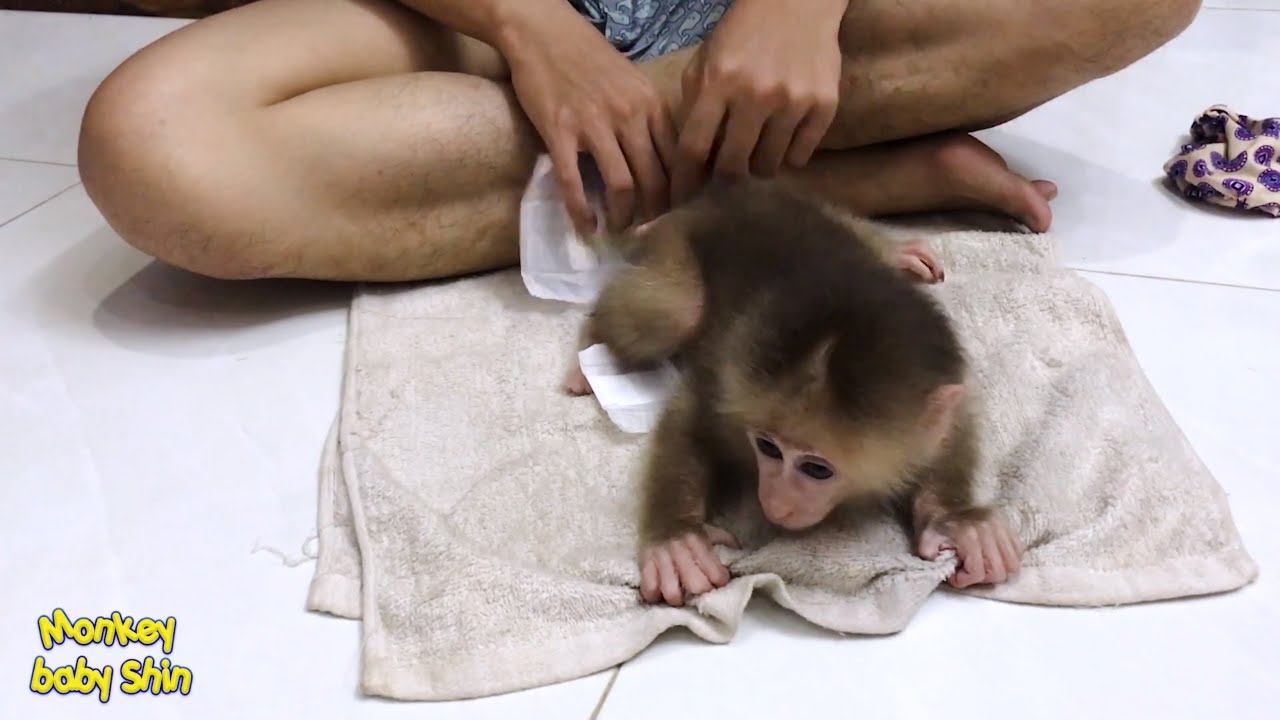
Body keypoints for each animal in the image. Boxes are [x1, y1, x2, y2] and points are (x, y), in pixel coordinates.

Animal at [566, 178, 1023, 607]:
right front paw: (677, 539)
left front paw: (958, 521)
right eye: (768, 448)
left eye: (817, 469)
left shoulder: (941, 389)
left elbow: (953, 422)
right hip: (673, 244)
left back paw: (895, 251)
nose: (776, 503)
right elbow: (688, 417)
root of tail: (713, 199)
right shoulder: (731, 387)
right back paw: (591, 351)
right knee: (677, 310)